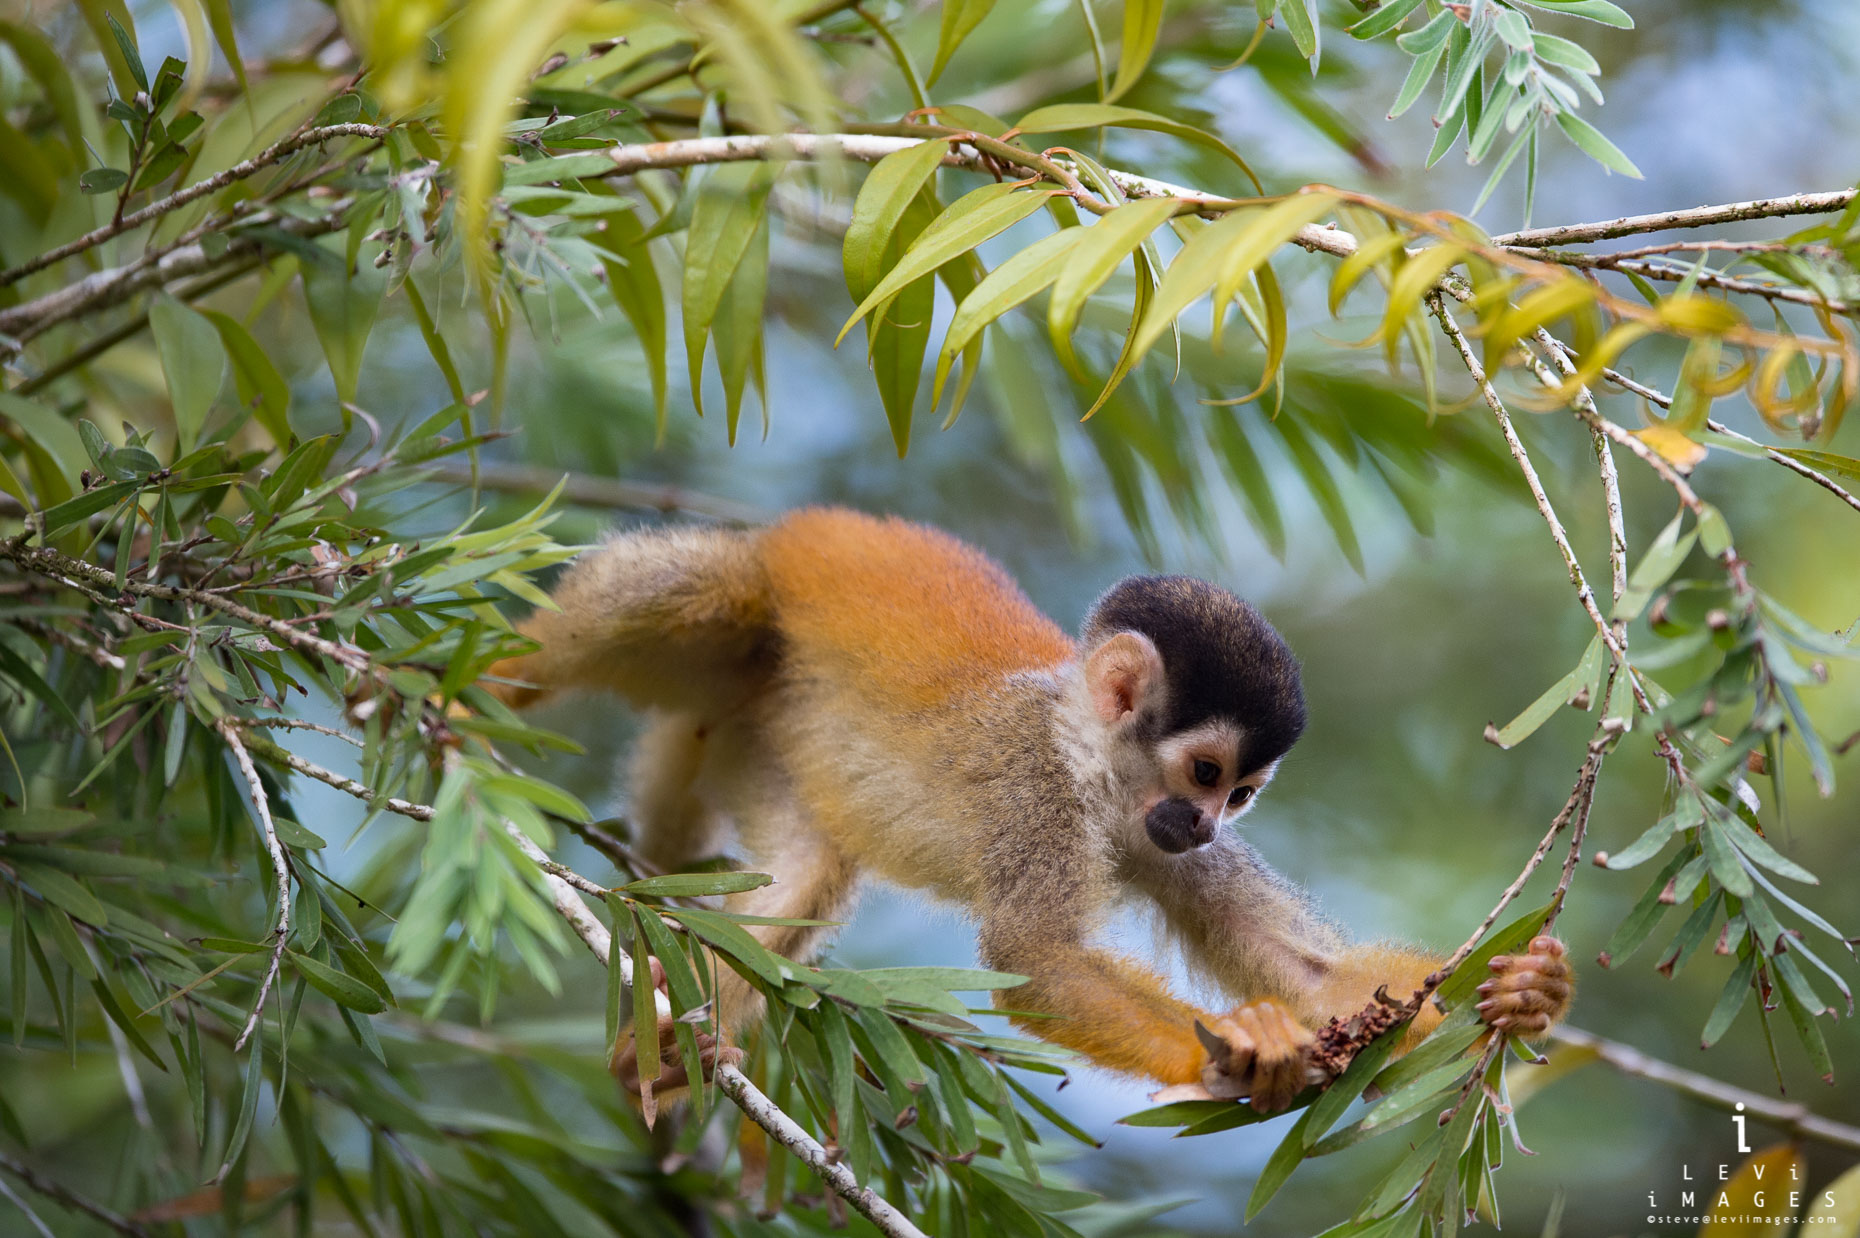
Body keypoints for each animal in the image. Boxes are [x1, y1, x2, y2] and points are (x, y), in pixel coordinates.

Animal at [483, 505, 1569, 1100]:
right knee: (698, 589)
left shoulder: (1159, 845)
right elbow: (1034, 959)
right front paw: (1235, 1057)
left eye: (1241, 796)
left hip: (760, 724)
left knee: (803, 872)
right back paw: (471, 689)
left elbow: (1313, 973)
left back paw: (682, 1037)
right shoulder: (1033, 791)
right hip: (751, 610)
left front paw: (1520, 991)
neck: (1091, 769)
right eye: (1206, 774)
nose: (1204, 822)